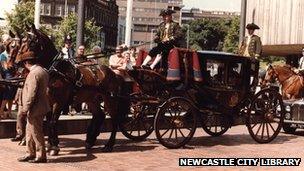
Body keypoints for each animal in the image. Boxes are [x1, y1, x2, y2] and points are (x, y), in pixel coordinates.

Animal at [16, 23, 128, 154]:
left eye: (31, 42)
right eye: (22, 41)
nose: (17, 62)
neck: (55, 70)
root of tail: (113, 73)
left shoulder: (59, 102)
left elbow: (53, 122)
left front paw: (54, 147)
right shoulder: (48, 101)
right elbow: (49, 121)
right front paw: (51, 145)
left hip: (110, 99)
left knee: (115, 119)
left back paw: (109, 145)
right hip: (92, 99)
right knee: (99, 115)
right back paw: (90, 141)